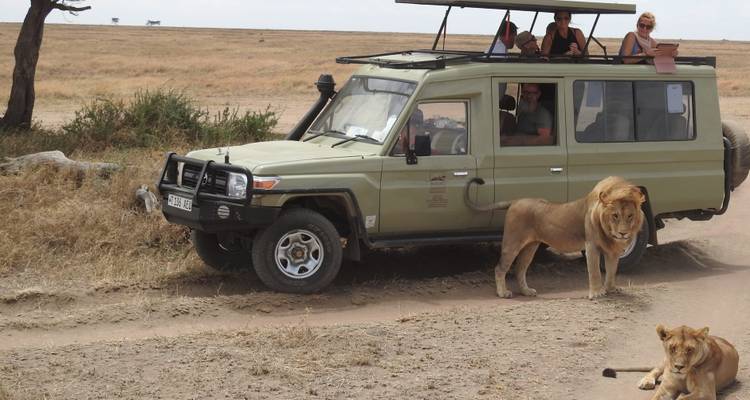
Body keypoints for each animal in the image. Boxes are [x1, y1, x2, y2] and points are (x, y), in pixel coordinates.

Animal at [465, 176, 645, 299]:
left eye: (630, 216)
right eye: (615, 215)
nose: (623, 233)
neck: (608, 230)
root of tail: (515, 201)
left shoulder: (612, 250)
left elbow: (612, 270)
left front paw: (611, 289)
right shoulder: (591, 246)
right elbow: (594, 271)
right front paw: (596, 293)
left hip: (530, 247)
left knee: (519, 269)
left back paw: (526, 291)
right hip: (512, 243)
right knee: (500, 268)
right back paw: (503, 292)